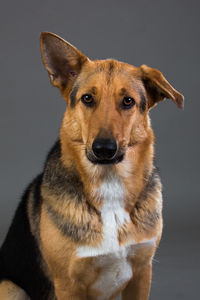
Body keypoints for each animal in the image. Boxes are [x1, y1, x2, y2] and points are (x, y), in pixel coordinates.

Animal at [0, 32, 184, 300]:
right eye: (87, 98)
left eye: (128, 101)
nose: (104, 149)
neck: (110, 184)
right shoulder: (68, 284)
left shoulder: (142, 273)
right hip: (10, 287)